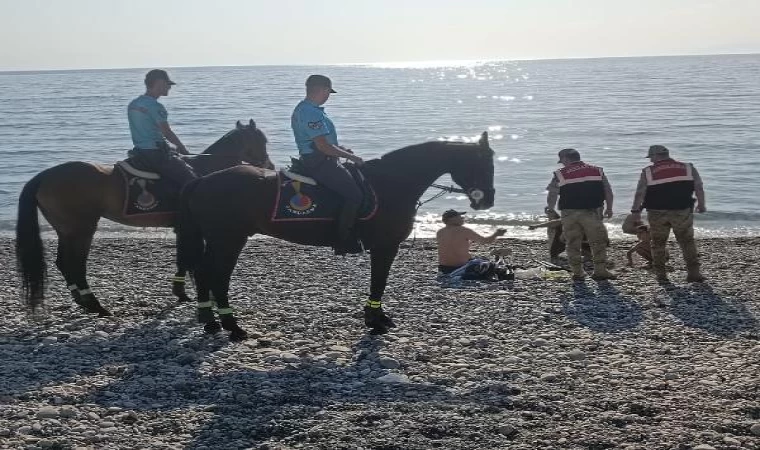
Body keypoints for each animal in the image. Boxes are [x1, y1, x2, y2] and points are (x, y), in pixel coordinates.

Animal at [16, 119, 274, 316]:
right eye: (261, 141)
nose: (269, 165)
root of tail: (45, 176)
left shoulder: (181, 228)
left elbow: (182, 259)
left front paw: (180, 292)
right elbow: (189, 259)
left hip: (66, 230)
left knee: (63, 263)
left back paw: (84, 302)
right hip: (81, 229)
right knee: (75, 264)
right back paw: (96, 306)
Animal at [175, 132, 496, 340]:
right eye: (482, 164)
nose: (488, 200)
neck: (392, 182)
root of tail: (202, 181)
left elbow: (378, 283)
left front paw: (378, 318)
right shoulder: (385, 246)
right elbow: (379, 282)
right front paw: (375, 321)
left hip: (220, 239)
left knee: (203, 273)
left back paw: (210, 322)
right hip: (228, 239)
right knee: (216, 276)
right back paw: (232, 326)